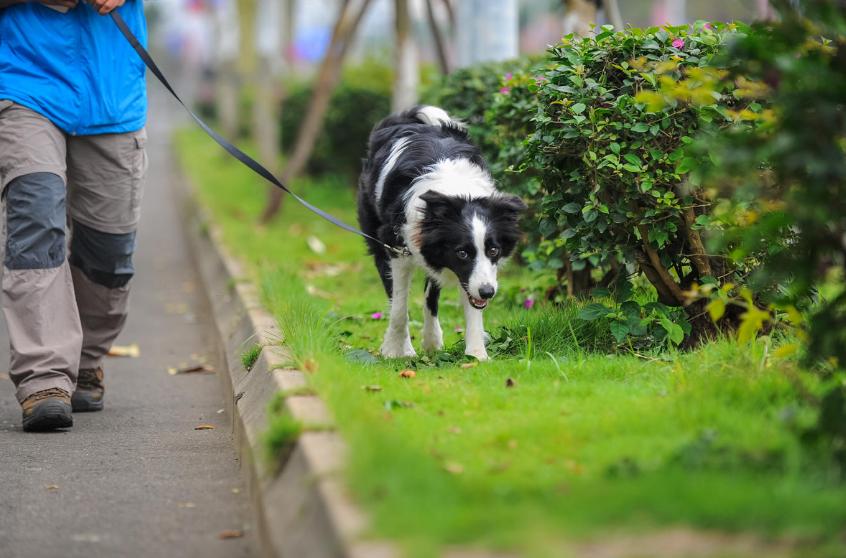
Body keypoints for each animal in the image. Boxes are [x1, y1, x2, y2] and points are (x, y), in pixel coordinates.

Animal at [362, 106, 528, 360]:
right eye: (462, 253)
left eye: (493, 250)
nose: (488, 293)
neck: (455, 191)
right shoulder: (397, 248)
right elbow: (399, 306)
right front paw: (394, 350)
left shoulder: (472, 274)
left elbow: (468, 302)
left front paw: (476, 354)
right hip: (377, 235)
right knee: (395, 297)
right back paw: (407, 348)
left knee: (431, 296)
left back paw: (432, 341)